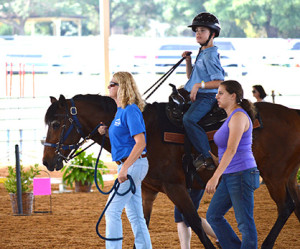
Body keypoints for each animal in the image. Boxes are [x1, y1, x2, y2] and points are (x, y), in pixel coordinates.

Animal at [42, 94, 300, 249]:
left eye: (55, 123)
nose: (46, 161)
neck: (146, 132)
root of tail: (294, 113)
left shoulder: (175, 187)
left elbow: (194, 221)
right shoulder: (147, 190)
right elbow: (142, 223)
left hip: (275, 176)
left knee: (285, 207)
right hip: (288, 178)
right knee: (296, 208)